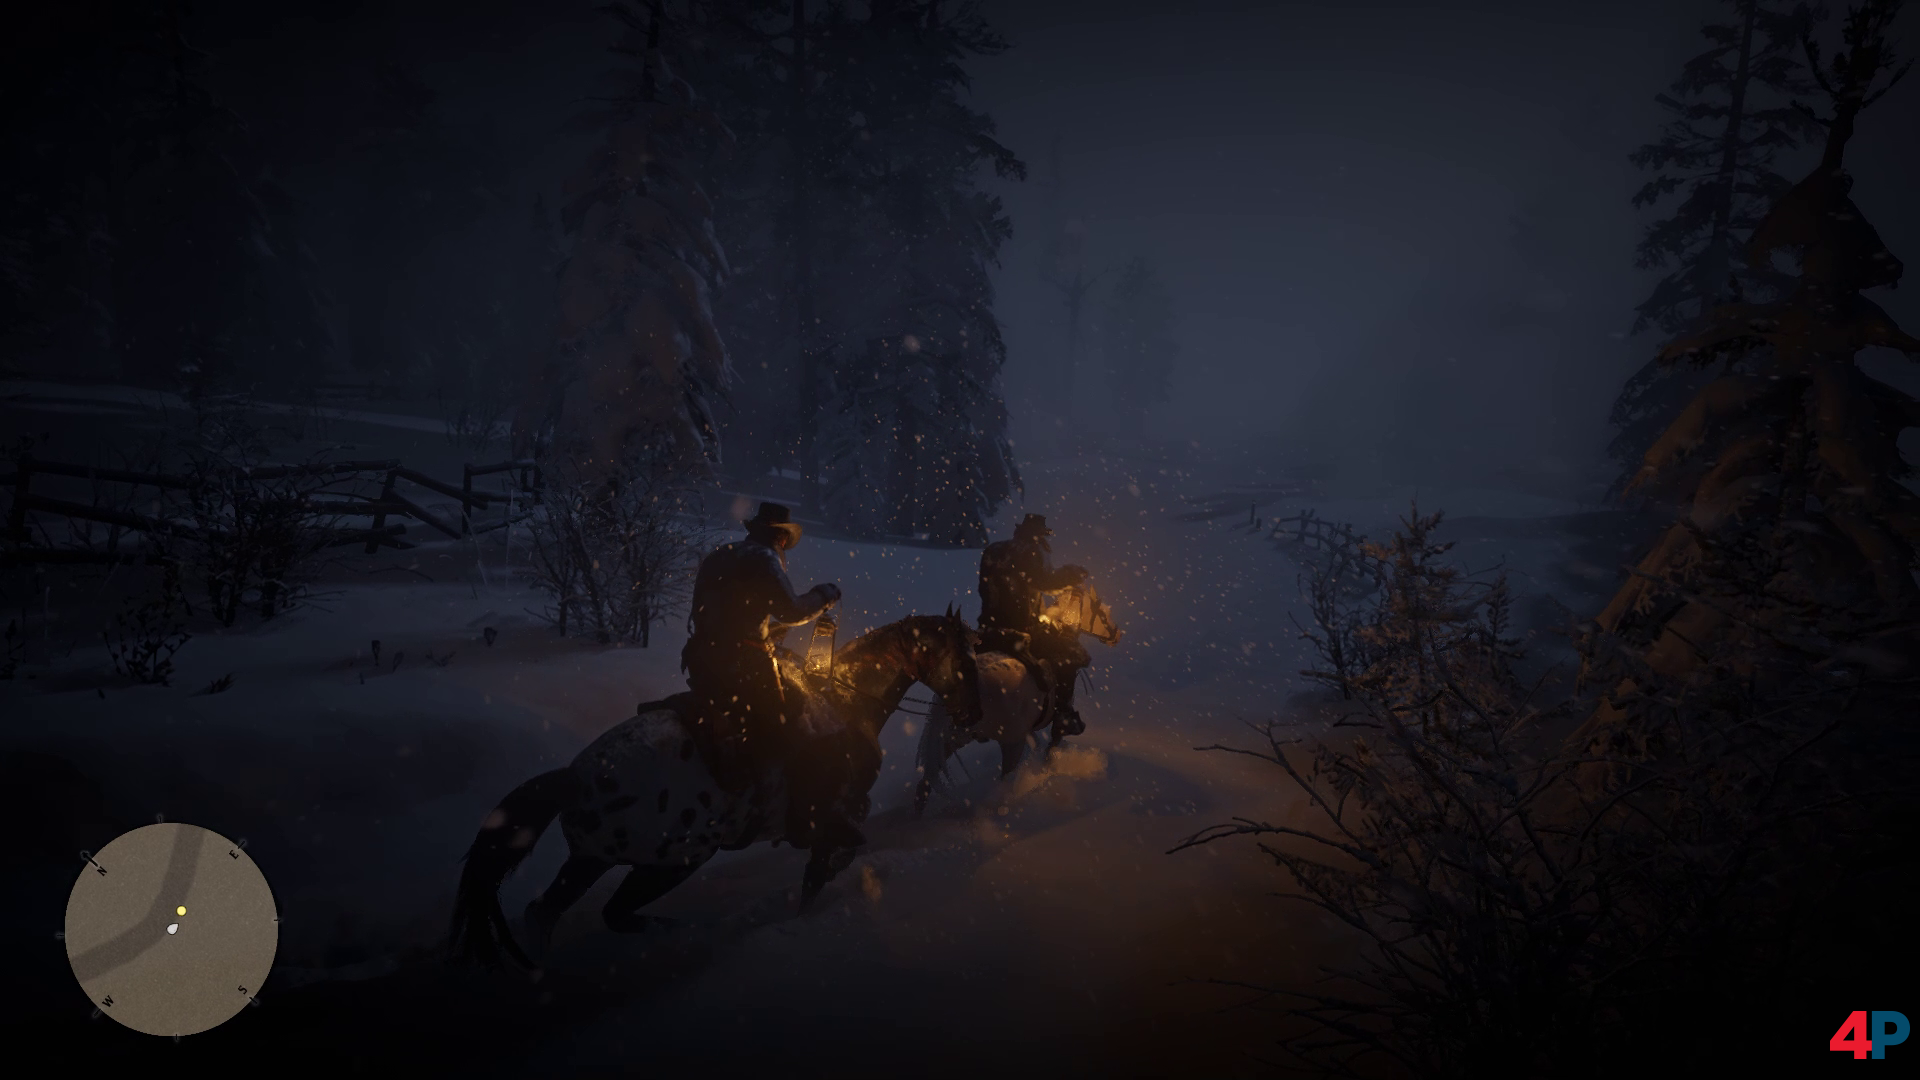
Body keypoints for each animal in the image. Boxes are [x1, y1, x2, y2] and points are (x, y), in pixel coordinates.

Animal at [448, 610, 981, 969]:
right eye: (965, 656)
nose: (973, 713)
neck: (844, 701)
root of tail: (574, 777)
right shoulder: (834, 821)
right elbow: (826, 867)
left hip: (588, 860)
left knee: (545, 913)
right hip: (674, 861)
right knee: (614, 912)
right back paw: (688, 934)